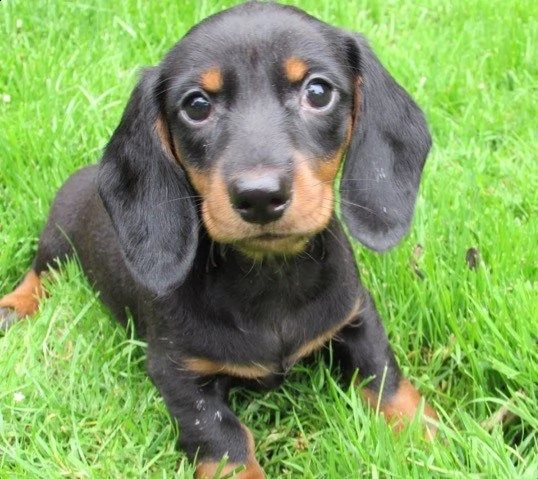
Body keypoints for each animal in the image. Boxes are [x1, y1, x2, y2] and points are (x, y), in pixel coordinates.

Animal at [0, 1, 436, 478]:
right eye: (196, 105)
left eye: (318, 92)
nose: (260, 197)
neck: (269, 276)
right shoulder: (178, 372)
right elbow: (224, 440)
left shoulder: (356, 314)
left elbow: (385, 377)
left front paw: (432, 435)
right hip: (57, 238)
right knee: (39, 272)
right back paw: (13, 306)